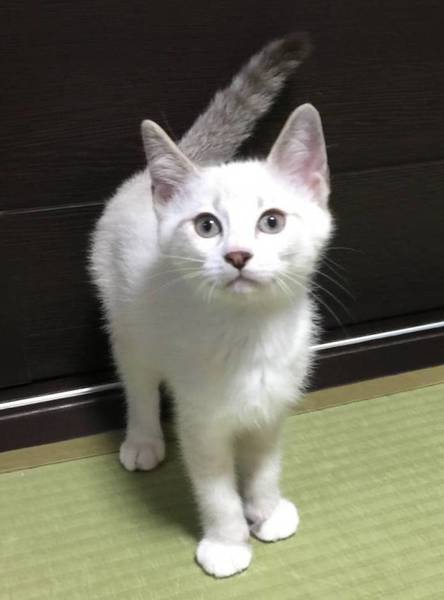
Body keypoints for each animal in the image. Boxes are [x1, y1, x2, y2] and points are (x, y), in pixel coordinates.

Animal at [90, 34, 332, 578]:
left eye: (271, 221)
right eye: (206, 226)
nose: (237, 255)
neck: (250, 335)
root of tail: (147, 179)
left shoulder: (273, 406)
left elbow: (264, 468)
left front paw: (266, 511)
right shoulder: (201, 421)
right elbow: (216, 490)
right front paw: (227, 543)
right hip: (125, 321)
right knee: (137, 382)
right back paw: (143, 440)